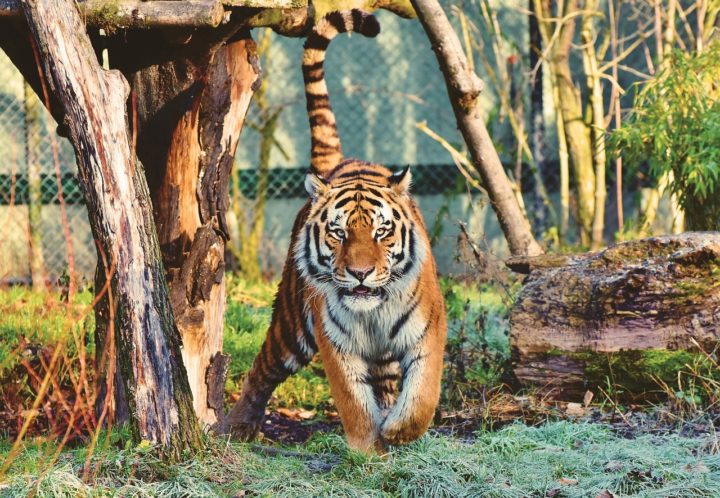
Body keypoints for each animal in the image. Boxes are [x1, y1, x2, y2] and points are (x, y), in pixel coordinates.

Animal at [223, 9, 447, 452]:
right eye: (339, 234)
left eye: (381, 232)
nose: (360, 273)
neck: (373, 313)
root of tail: (340, 163)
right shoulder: (335, 342)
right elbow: (353, 402)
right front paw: (366, 448)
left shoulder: (429, 330)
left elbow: (422, 395)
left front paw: (398, 431)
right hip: (291, 326)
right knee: (262, 368)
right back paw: (239, 425)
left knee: (387, 383)